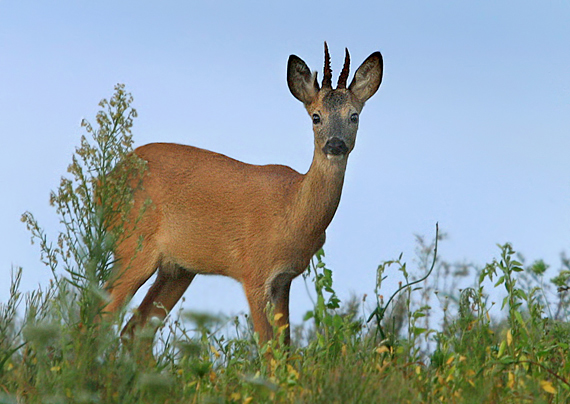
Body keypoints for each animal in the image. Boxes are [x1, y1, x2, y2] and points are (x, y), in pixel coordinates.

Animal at [105, 42, 384, 344]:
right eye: (316, 117)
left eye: (353, 116)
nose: (335, 144)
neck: (292, 211)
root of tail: (106, 180)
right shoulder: (254, 271)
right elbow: (267, 347)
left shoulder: (284, 279)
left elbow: (285, 345)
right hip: (133, 245)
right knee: (99, 315)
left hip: (177, 269)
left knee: (134, 329)